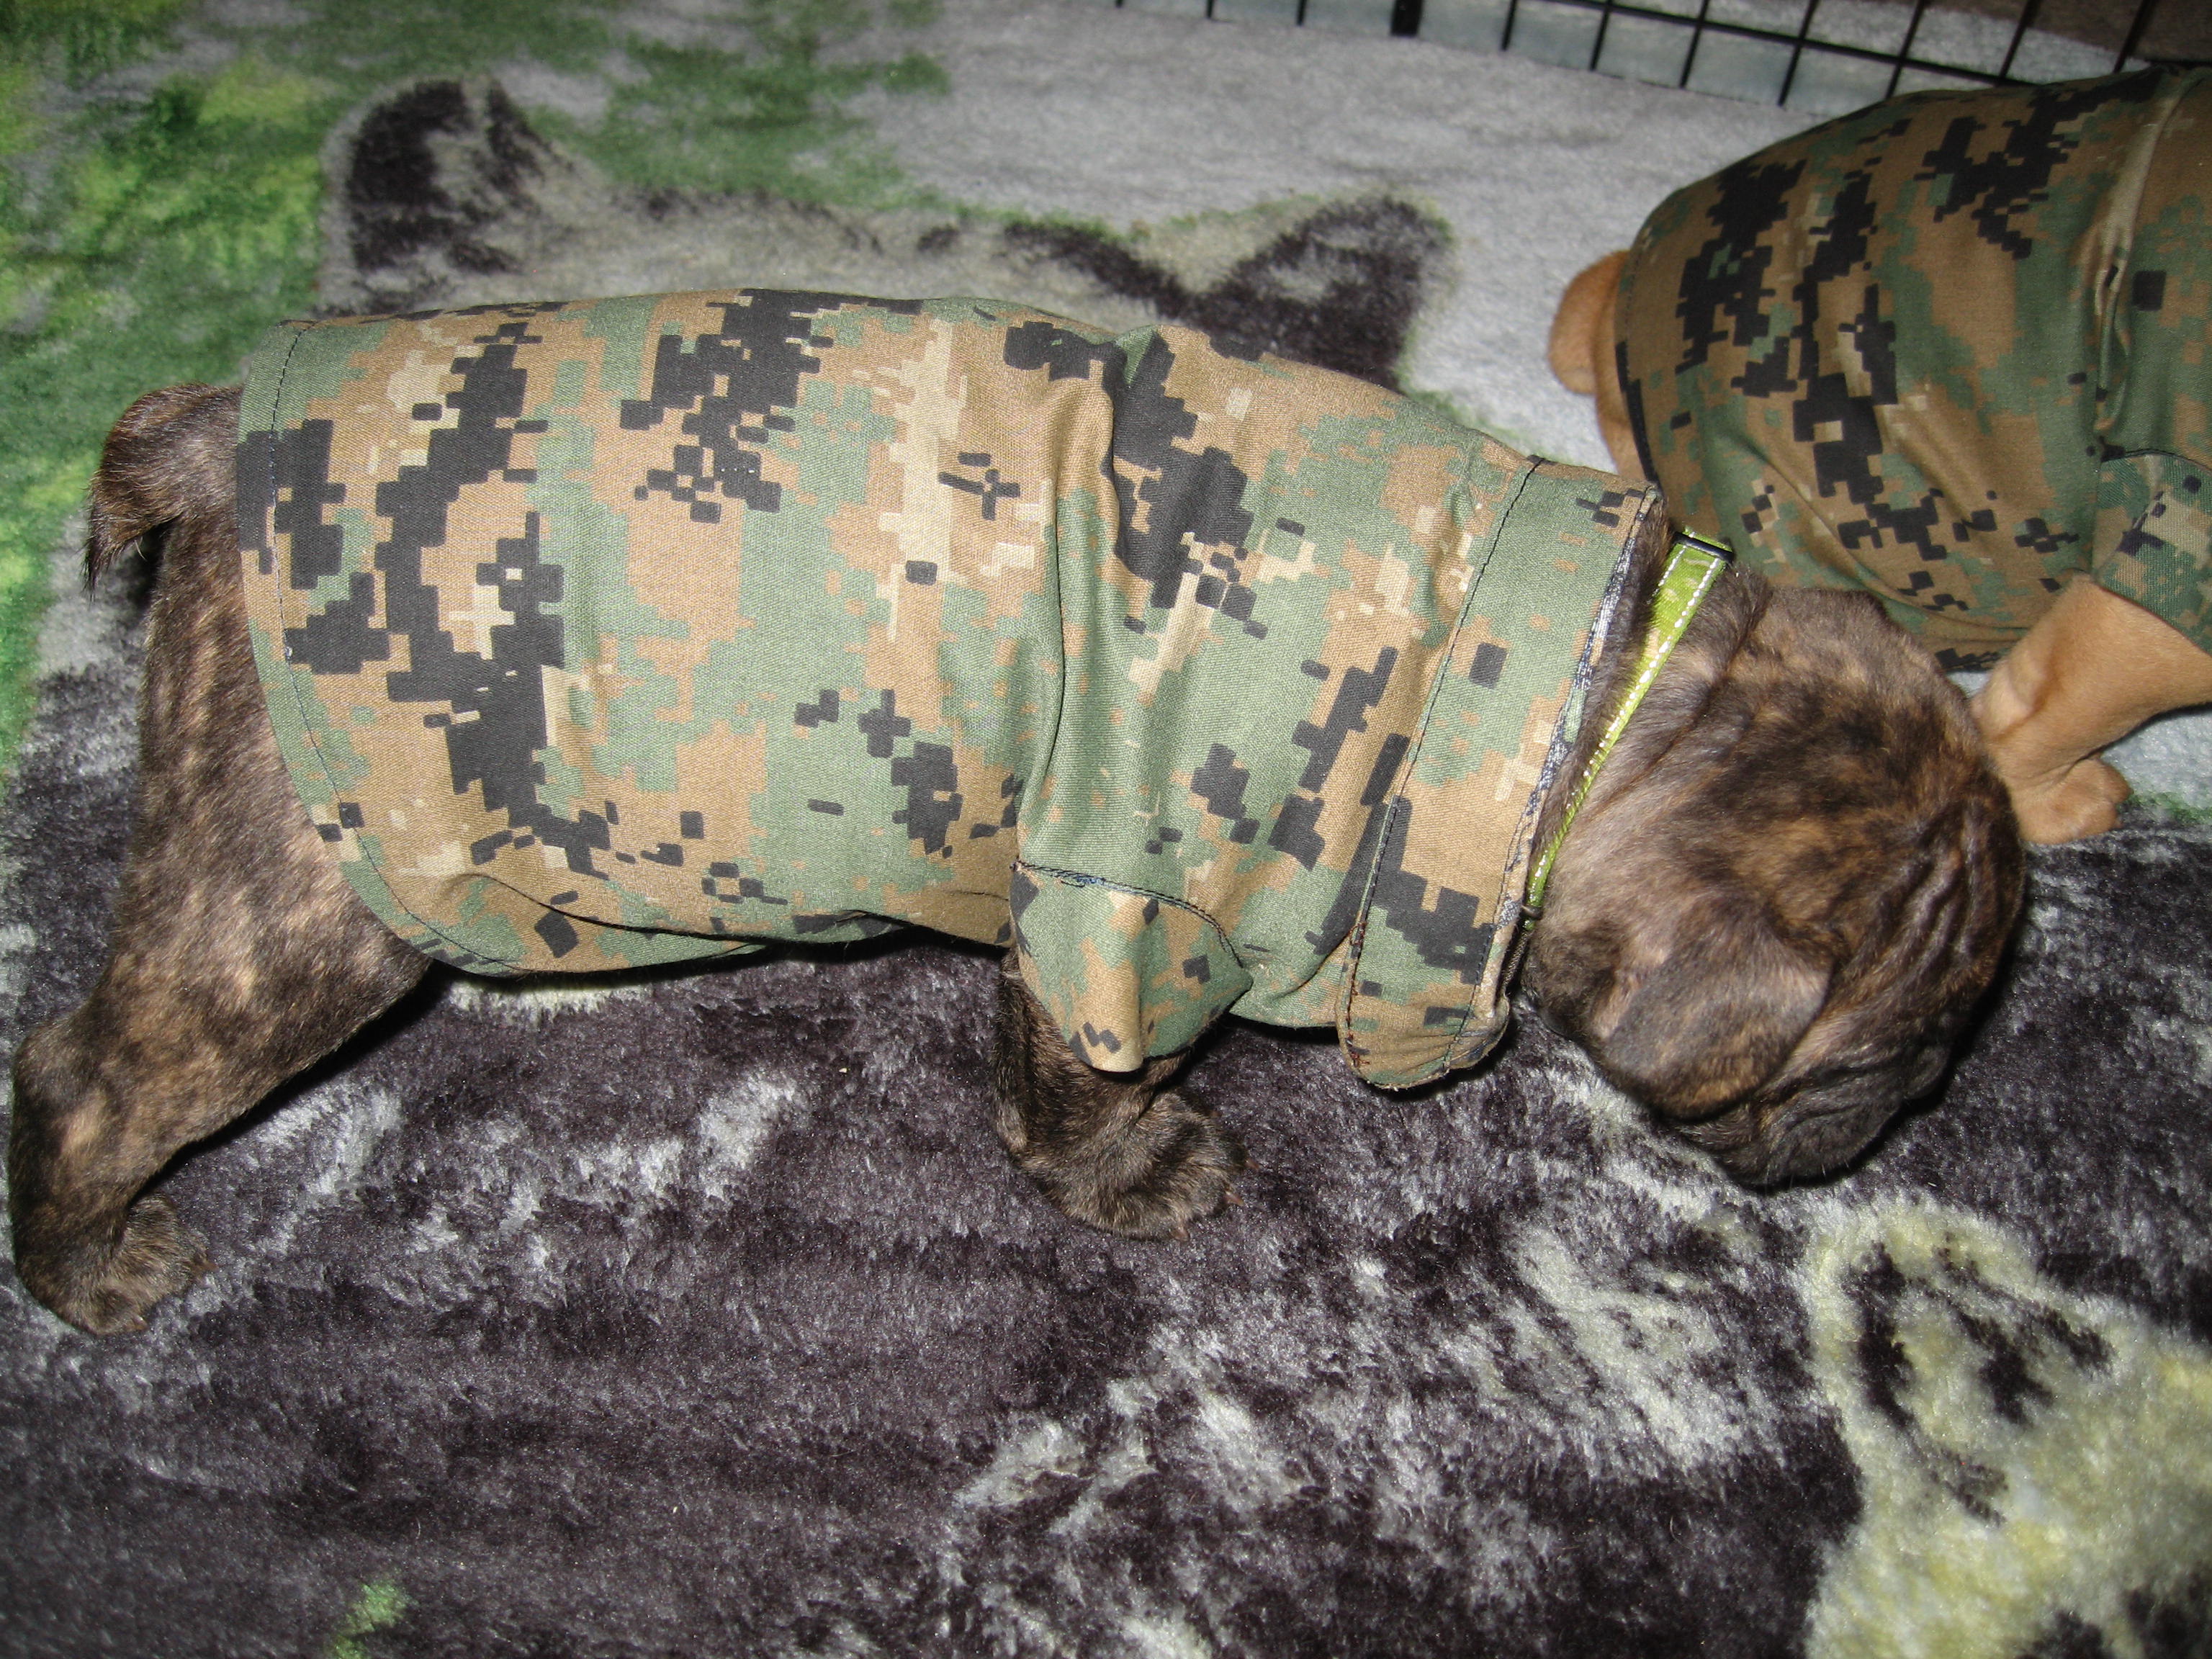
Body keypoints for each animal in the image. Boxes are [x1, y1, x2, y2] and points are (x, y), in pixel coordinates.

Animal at [7, 292, 2022, 1336]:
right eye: (1886, 1054)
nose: (1915, 1112)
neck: (1606, 702)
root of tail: (212, 430)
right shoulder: (1123, 911)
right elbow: (1079, 1095)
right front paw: (1143, 1179)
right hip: (298, 909)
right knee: (90, 1076)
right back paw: (89, 1268)